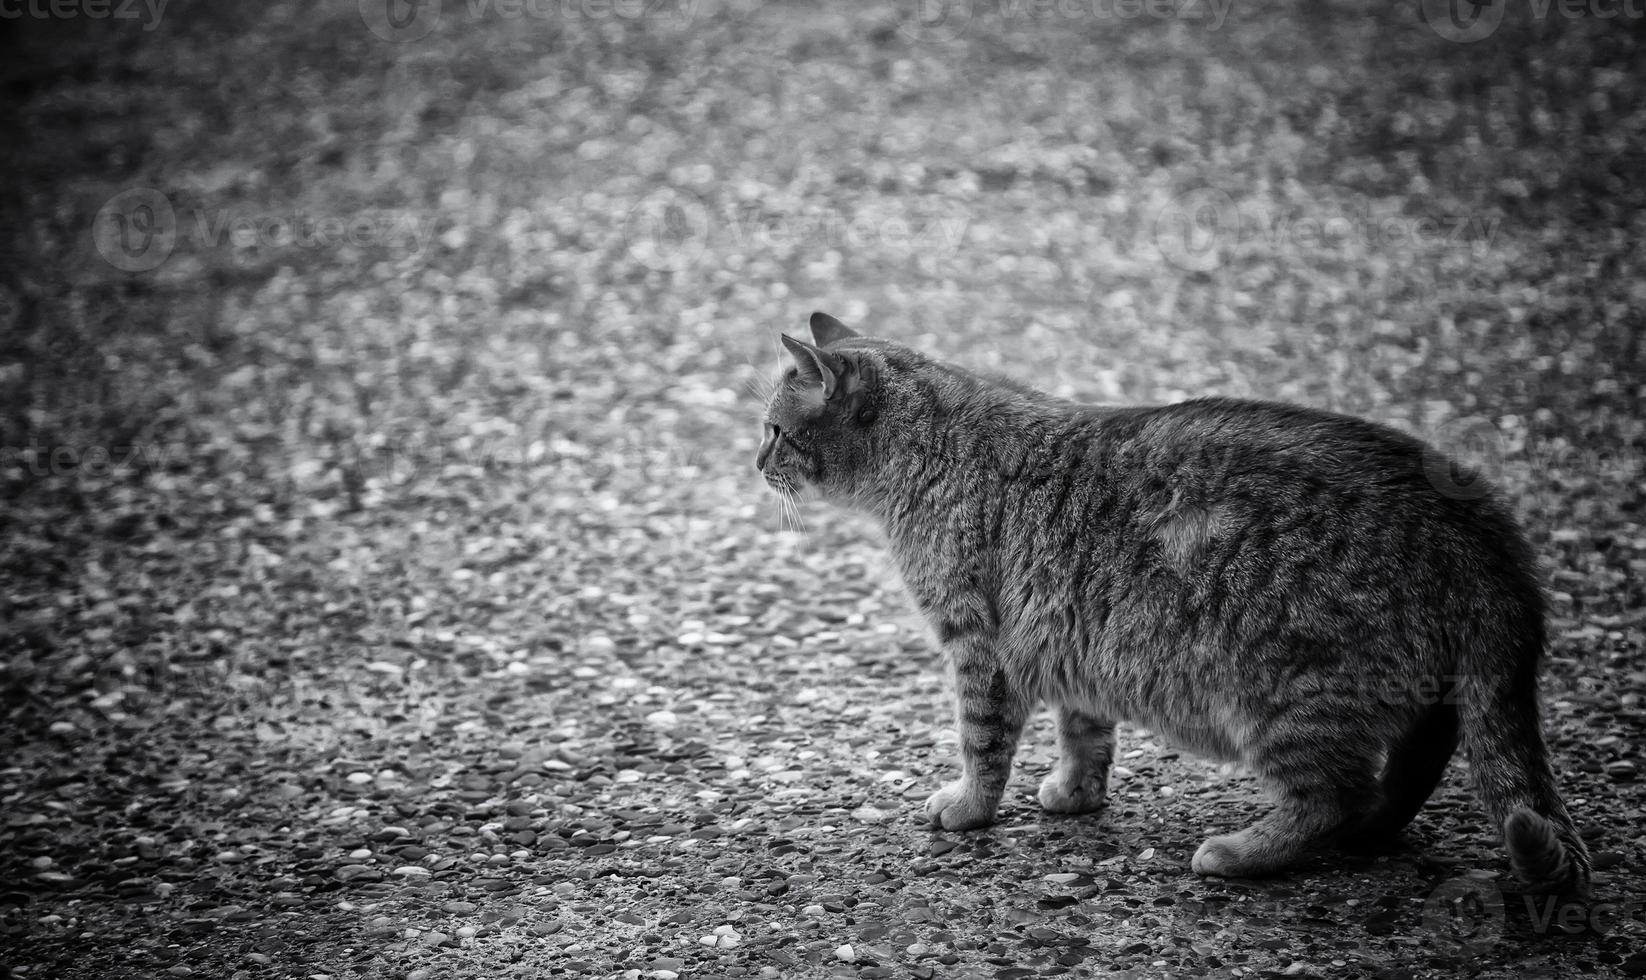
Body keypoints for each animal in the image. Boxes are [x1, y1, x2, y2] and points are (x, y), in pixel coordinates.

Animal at [757, 312, 1593, 896]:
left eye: (773, 429)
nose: (755, 461)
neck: (932, 454)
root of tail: (1488, 533)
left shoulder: (979, 646)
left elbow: (982, 744)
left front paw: (969, 808)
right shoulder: (1067, 635)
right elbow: (1084, 734)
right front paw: (1077, 794)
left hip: (1281, 695)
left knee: (1333, 796)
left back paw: (1243, 853)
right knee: (1404, 774)